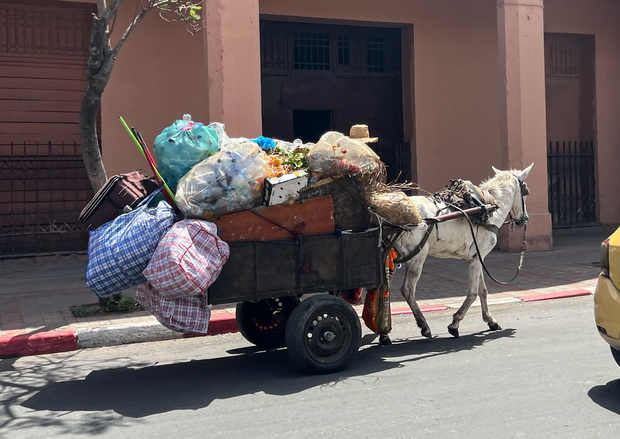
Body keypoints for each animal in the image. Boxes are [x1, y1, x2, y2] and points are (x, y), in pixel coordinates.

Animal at [392, 165, 532, 340]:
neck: (488, 208)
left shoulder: (477, 257)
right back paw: (424, 326)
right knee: (408, 290)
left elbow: (483, 290)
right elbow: (473, 292)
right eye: (525, 192)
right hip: (417, 256)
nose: (524, 219)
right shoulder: (477, 260)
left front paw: (490, 320)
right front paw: (455, 323)